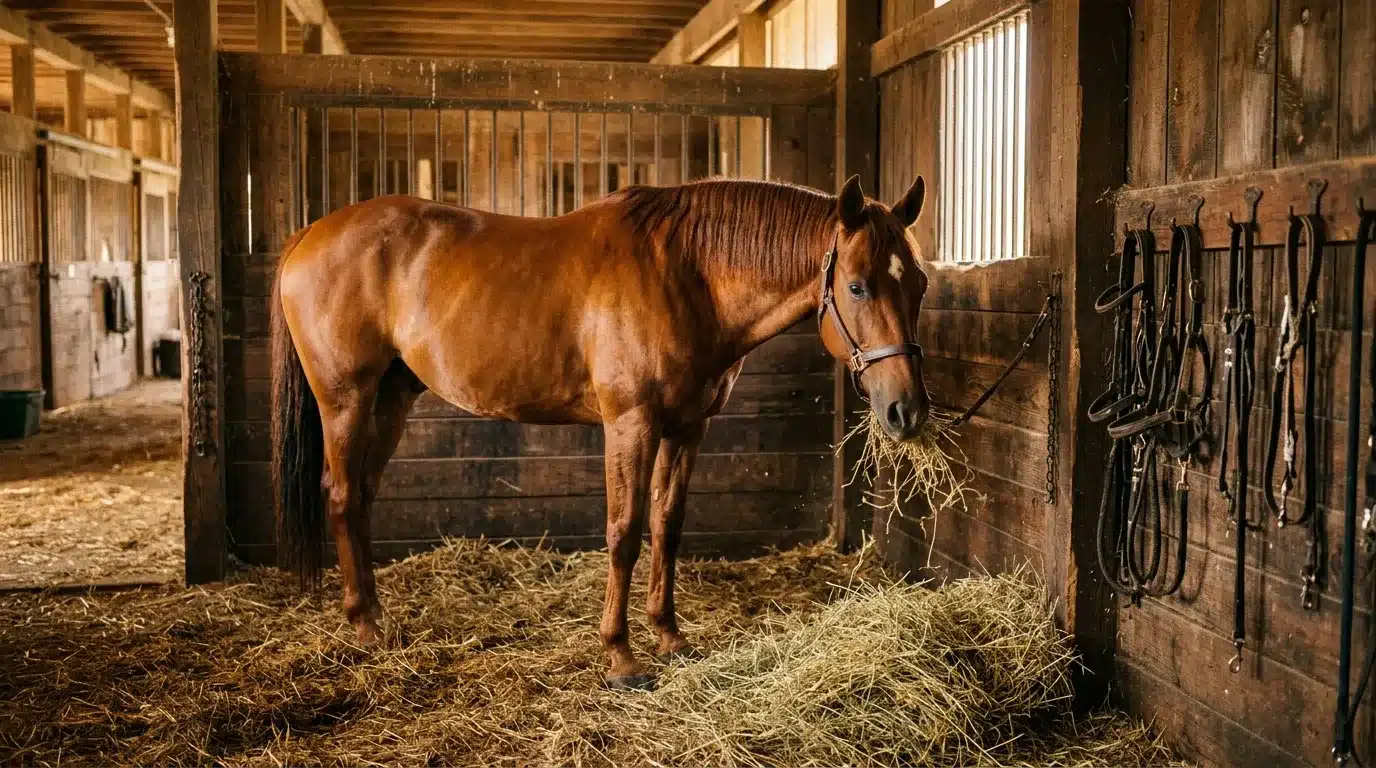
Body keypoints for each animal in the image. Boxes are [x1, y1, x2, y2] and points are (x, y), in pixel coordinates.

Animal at [269, 171, 931, 688]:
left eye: (919, 285)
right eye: (856, 285)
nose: (907, 410)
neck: (686, 272)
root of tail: (309, 234)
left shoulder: (687, 428)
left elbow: (667, 526)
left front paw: (670, 636)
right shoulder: (630, 424)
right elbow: (624, 533)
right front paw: (621, 655)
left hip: (390, 399)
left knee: (361, 500)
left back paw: (378, 617)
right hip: (346, 400)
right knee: (342, 496)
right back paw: (363, 624)